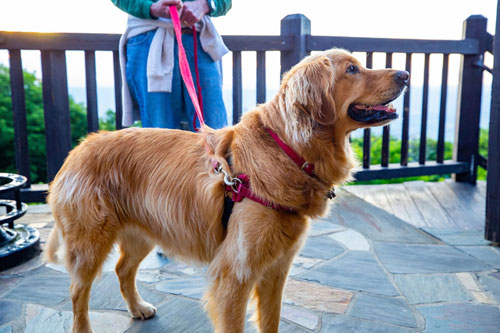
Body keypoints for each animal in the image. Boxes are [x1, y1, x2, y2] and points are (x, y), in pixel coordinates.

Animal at [45, 47, 408, 332]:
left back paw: (138, 308)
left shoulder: (276, 269)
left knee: (122, 270)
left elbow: (271, 321)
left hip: (144, 231)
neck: (288, 150)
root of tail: (78, 149)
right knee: (77, 294)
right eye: (352, 69)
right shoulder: (235, 275)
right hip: (90, 241)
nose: (405, 74)